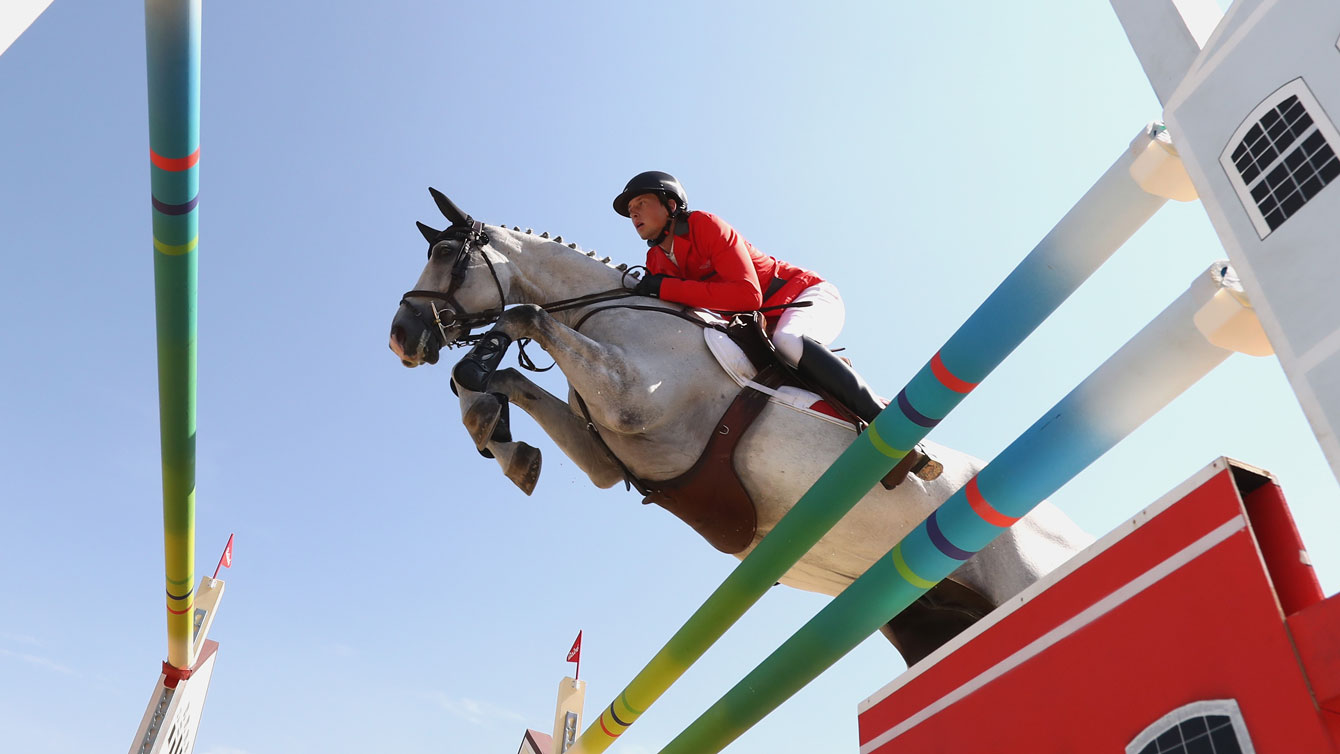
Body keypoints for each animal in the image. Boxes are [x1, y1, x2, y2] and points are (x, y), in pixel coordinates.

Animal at [391, 190, 1098, 666]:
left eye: (447, 253)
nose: (402, 337)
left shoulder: (635, 402)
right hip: (933, 621)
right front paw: (502, 439)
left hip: (1024, 576)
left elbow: (522, 315)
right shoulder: (605, 457)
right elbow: (509, 377)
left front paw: (483, 378)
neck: (607, 315)